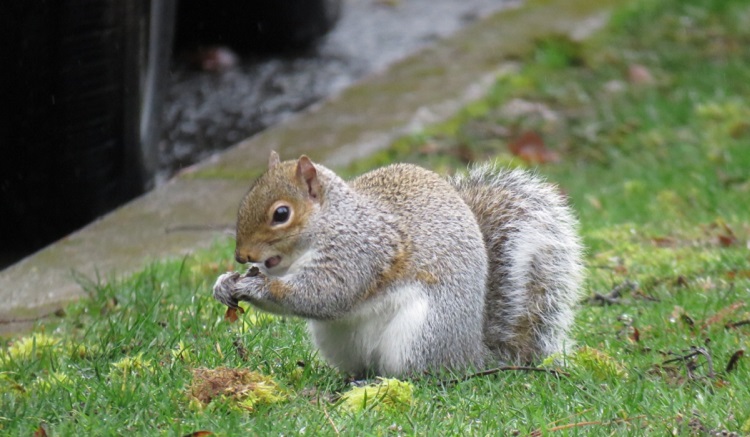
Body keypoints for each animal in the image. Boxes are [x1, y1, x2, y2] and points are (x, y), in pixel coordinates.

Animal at [214, 150, 584, 374]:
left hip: (420, 334)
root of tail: (472, 355)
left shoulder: (361, 251)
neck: (333, 220)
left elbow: (325, 294)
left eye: (281, 214)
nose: (242, 255)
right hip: (338, 341)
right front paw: (225, 283)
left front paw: (256, 286)